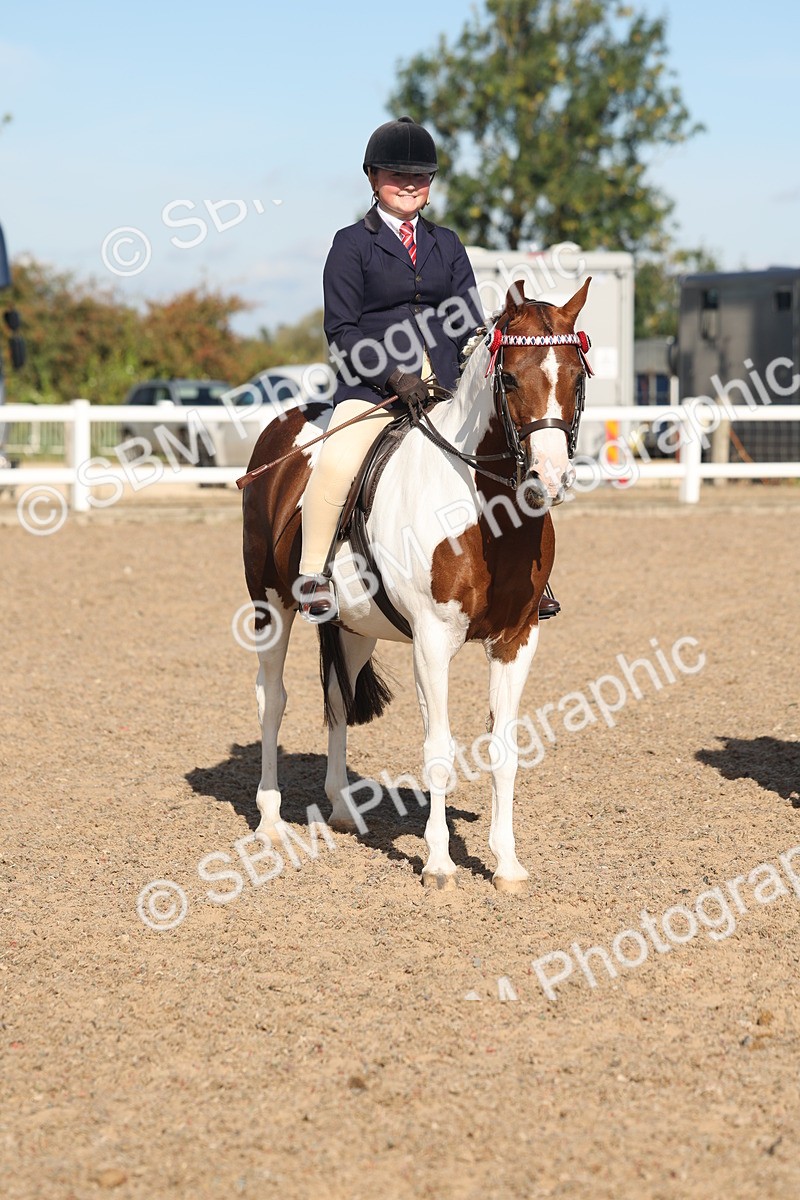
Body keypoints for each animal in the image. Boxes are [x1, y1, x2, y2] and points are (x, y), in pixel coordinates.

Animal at [241, 277, 591, 892]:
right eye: (509, 378)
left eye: (576, 378)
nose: (548, 479)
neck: (485, 514)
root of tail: (281, 425)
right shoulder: (432, 640)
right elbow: (439, 749)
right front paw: (439, 863)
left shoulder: (518, 638)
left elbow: (505, 747)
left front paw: (507, 865)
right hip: (270, 605)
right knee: (273, 698)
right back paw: (271, 821)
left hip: (355, 625)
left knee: (338, 697)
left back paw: (342, 810)